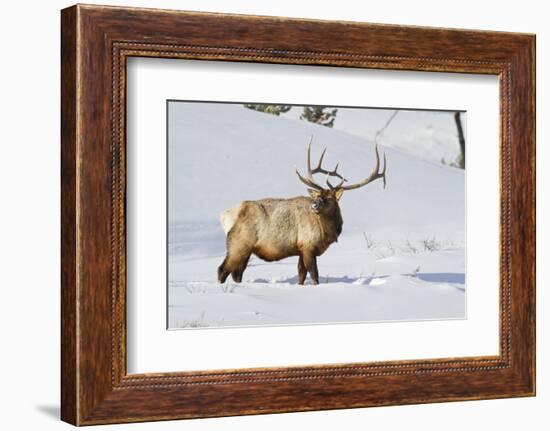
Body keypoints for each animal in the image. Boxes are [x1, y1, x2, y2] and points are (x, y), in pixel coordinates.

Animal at [218, 140, 386, 286]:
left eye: (329, 199)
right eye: (318, 197)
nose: (314, 206)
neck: (328, 232)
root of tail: (225, 216)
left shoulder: (300, 249)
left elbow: (301, 275)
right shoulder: (308, 246)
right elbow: (314, 275)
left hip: (245, 248)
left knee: (237, 272)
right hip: (239, 243)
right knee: (223, 269)